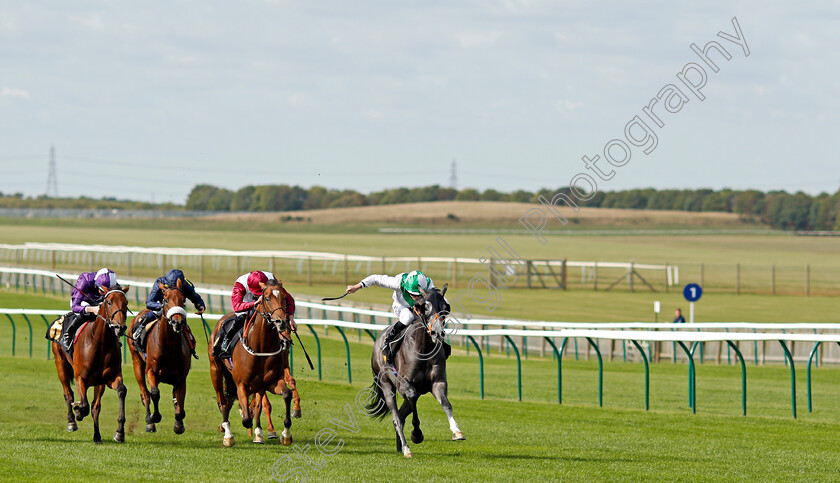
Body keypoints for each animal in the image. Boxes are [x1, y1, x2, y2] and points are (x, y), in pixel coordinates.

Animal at [51, 288, 131, 446]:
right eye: (109, 302)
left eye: (125, 302)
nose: (120, 327)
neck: (100, 343)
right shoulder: (80, 378)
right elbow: (84, 405)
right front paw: (78, 411)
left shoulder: (108, 378)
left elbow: (118, 393)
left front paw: (118, 433)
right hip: (60, 363)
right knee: (68, 393)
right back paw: (71, 422)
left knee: (94, 405)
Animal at [127, 280, 191, 434]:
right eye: (165, 300)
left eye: (183, 300)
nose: (177, 322)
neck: (169, 347)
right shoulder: (151, 371)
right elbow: (154, 393)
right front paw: (154, 417)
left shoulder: (181, 377)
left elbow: (179, 400)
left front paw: (179, 423)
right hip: (137, 362)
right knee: (145, 394)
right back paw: (149, 423)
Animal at [210, 282, 298, 448]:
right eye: (267, 298)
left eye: (285, 297)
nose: (281, 322)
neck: (261, 346)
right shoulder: (241, 384)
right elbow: (245, 419)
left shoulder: (270, 382)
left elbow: (286, 394)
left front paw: (286, 434)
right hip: (216, 370)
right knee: (223, 402)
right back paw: (228, 434)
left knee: (255, 405)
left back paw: (258, 433)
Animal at [366, 286, 466, 460]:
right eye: (425, 307)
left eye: (445, 307)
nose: (437, 332)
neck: (423, 349)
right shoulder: (404, 384)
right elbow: (411, 399)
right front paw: (417, 434)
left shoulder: (437, 382)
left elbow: (446, 404)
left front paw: (457, 432)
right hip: (386, 385)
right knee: (396, 417)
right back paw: (406, 449)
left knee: (400, 415)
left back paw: (400, 447)